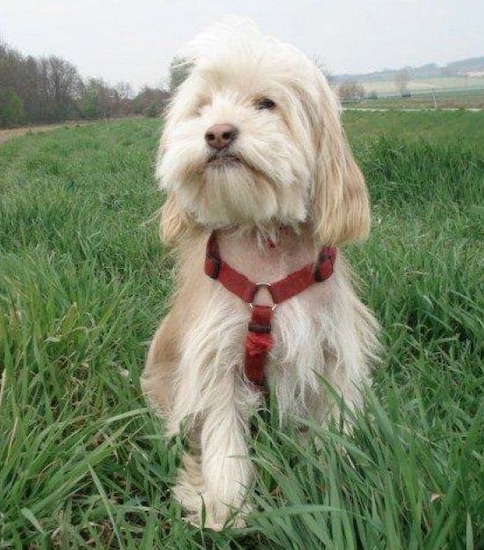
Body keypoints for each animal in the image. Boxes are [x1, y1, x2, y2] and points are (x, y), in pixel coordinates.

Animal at [142, 20, 380, 532]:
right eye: (203, 106)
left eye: (266, 104)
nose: (217, 132)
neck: (263, 239)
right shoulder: (216, 357)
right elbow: (223, 438)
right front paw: (223, 507)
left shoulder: (330, 349)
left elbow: (333, 429)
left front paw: (335, 490)